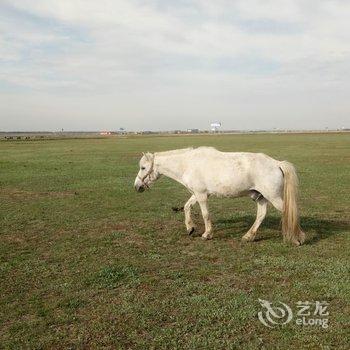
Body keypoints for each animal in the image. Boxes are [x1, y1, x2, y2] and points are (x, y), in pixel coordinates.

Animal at [135, 148, 304, 246]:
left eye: (143, 167)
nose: (137, 187)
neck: (188, 163)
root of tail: (277, 163)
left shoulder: (201, 195)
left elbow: (205, 214)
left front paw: (207, 234)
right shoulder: (198, 193)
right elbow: (187, 207)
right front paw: (190, 228)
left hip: (273, 197)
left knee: (289, 212)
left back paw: (298, 238)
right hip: (261, 197)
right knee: (261, 215)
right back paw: (248, 236)